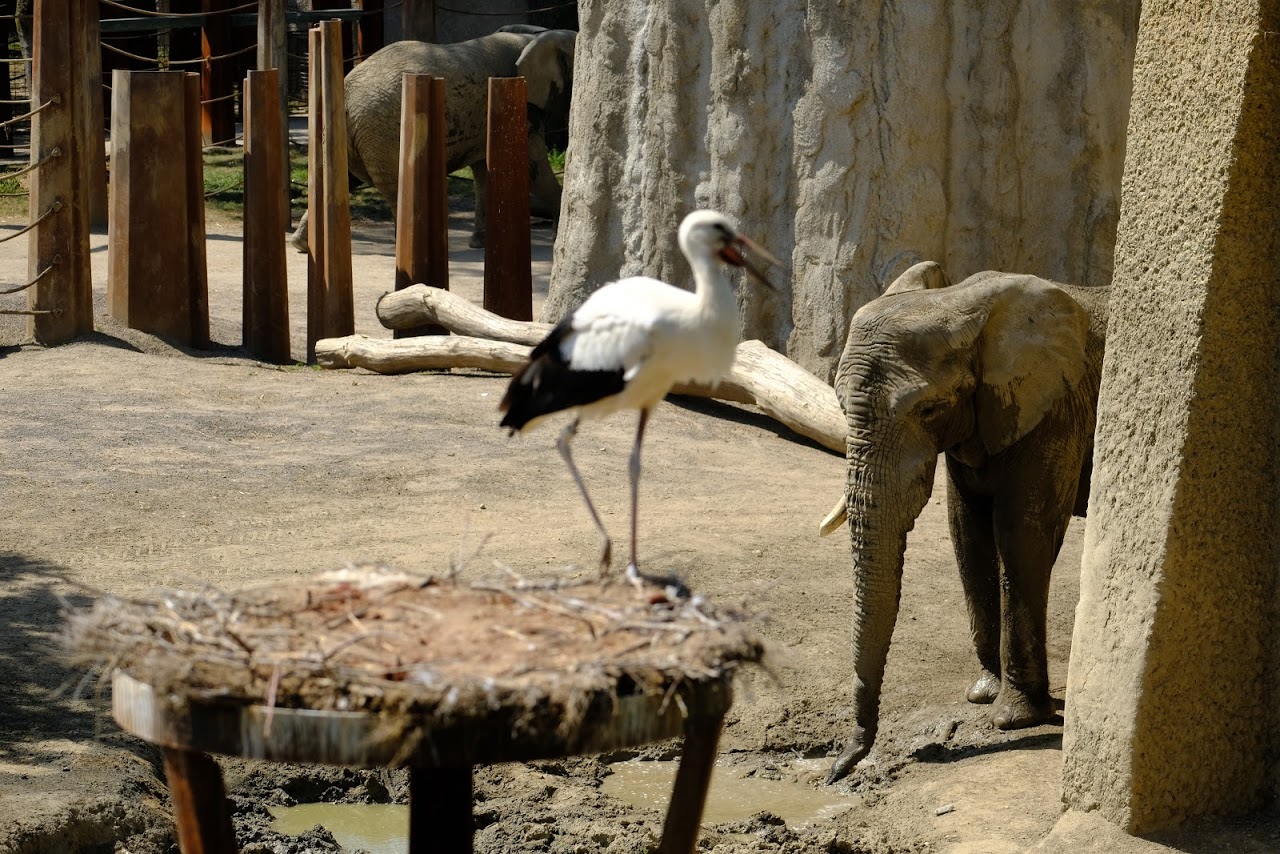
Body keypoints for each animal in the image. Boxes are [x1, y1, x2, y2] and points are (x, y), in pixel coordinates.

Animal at [290, 27, 576, 252]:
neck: (535, 37)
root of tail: (346, 92)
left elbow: (484, 171)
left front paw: (480, 243)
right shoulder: (520, 99)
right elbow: (531, 165)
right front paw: (556, 238)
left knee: (336, 178)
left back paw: (302, 245)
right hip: (382, 133)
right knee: (392, 184)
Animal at [818, 262, 1108, 784]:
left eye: (929, 408)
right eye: (841, 405)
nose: (837, 770)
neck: (963, 303)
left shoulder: (1054, 409)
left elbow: (1023, 534)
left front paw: (1014, 718)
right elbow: (966, 532)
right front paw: (983, 693)